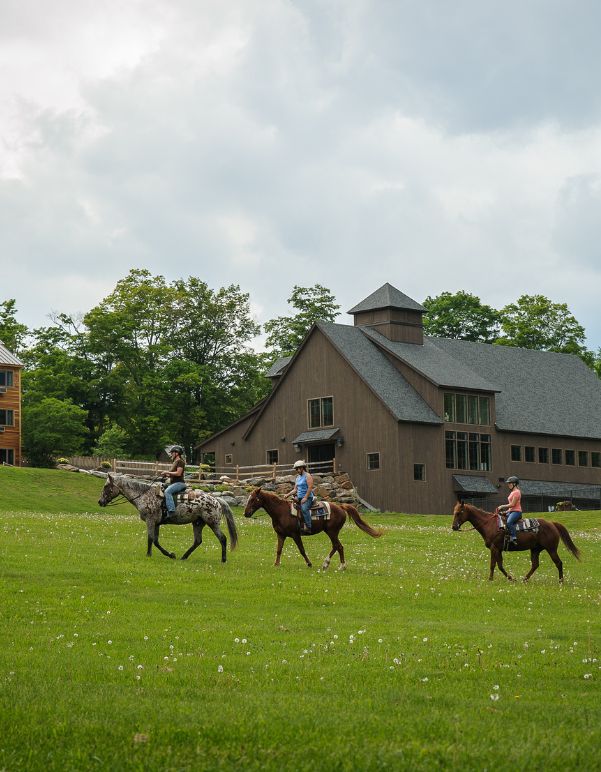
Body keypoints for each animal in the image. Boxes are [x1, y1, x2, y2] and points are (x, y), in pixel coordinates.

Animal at [98, 473, 238, 562]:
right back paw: (183, 557)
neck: (144, 495)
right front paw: (171, 554)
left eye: (106, 486)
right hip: (198, 523)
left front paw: (149, 554)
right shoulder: (156, 523)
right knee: (197, 541)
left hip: (213, 523)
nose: (100, 502)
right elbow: (155, 541)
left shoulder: (150, 521)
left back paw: (223, 559)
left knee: (222, 538)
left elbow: (150, 539)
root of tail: (217, 500)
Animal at [243, 487, 382, 569]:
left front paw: (309, 563)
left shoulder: (295, 534)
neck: (281, 511)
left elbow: (302, 550)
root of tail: (340, 507)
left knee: (339, 546)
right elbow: (279, 550)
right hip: (330, 532)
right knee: (335, 546)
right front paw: (276, 564)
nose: (246, 513)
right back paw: (326, 563)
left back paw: (341, 566)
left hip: (332, 531)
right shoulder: (281, 535)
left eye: (253, 499)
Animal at [451, 500, 581, 582]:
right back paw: (524, 579)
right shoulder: (499, 550)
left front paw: (490, 579)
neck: (490, 524)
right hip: (535, 549)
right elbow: (500, 565)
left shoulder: (494, 548)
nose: (454, 527)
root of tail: (552, 523)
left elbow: (493, 564)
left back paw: (561, 581)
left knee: (558, 563)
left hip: (551, 549)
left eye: (459, 513)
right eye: (454, 512)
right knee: (535, 564)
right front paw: (511, 578)